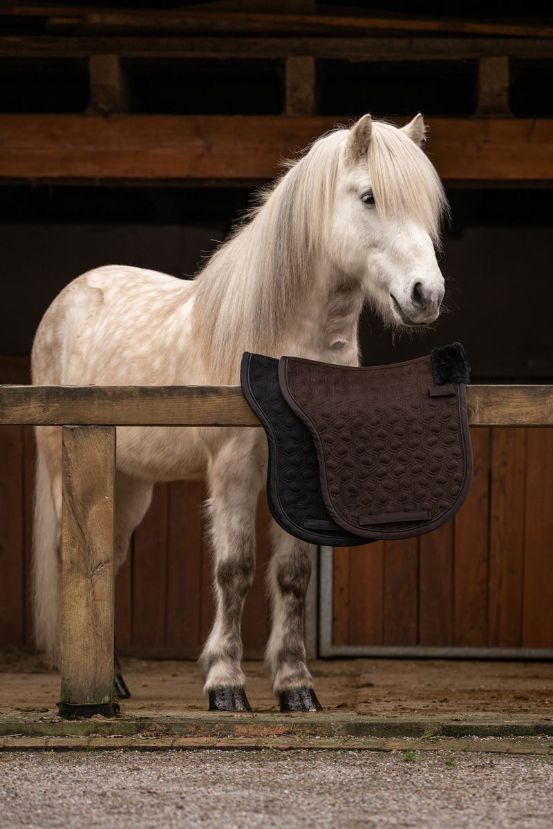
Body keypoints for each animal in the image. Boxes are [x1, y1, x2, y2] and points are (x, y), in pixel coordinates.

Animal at [31, 113, 447, 712]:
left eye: (429, 206)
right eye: (370, 196)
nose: (426, 294)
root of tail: (70, 297)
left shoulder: (298, 478)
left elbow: (293, 575)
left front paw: (296, 686)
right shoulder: (234, 468)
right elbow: (235, 570)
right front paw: (225, 684)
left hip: (128, 481)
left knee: (106, 558)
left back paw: (113, 676)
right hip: (66, 469)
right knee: (76, 560)